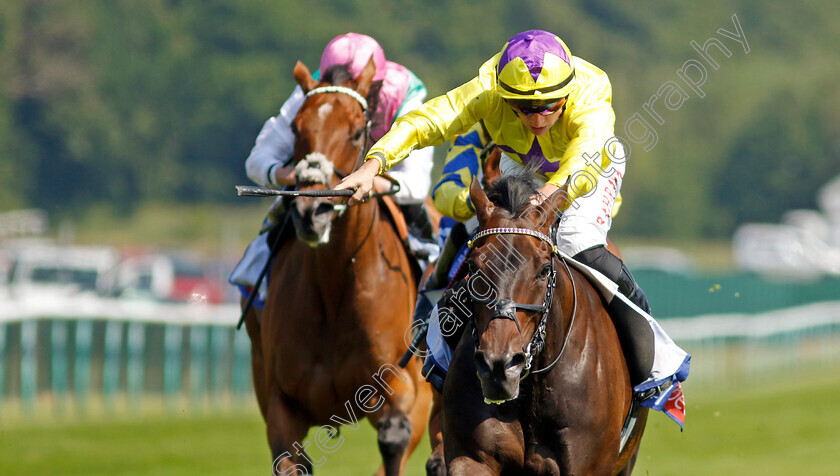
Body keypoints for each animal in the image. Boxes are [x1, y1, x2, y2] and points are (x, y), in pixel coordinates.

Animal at [240, 59, 430, 476]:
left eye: (357, 132)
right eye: (296, 128)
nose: (313, 211)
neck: (334, 286)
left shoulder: (409, 391)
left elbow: (395, 438)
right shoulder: (281, 406)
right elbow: (290, 460)